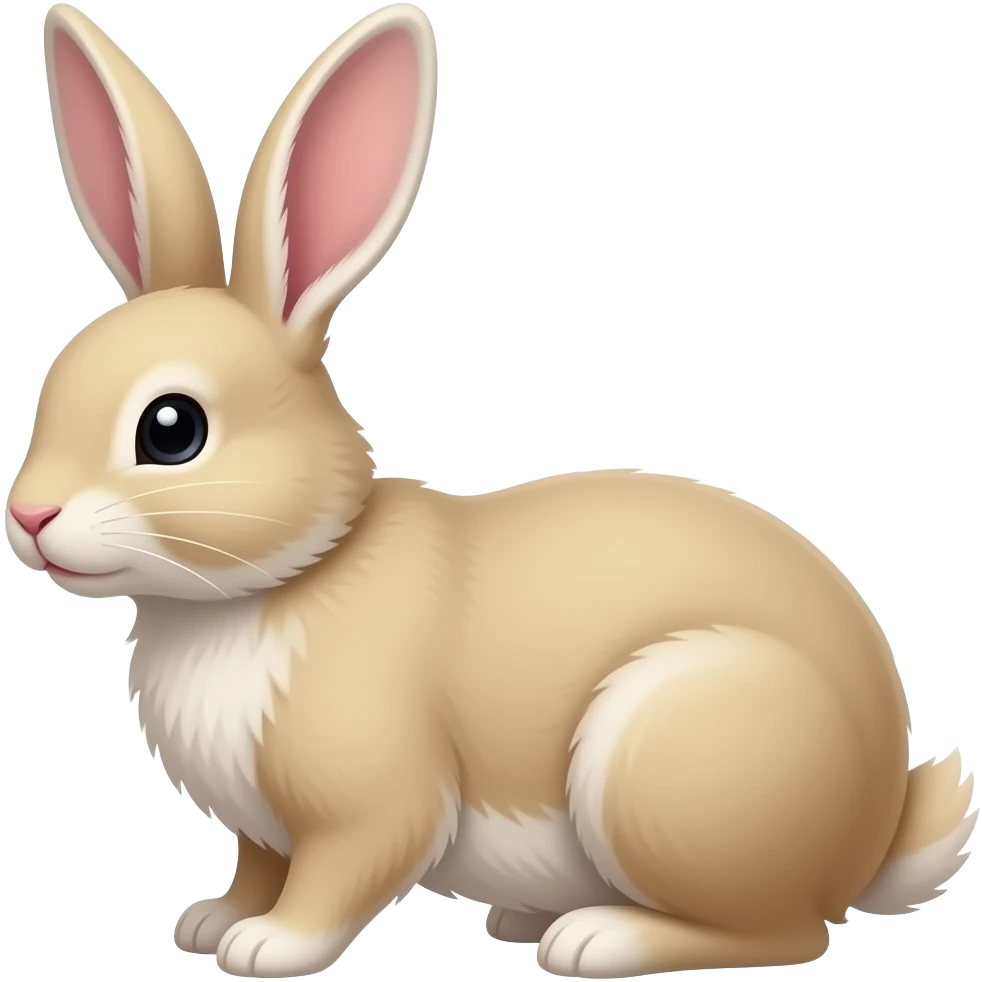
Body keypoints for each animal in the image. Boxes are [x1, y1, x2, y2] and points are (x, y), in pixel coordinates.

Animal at [7, 3, 975, 978]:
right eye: (50, 384)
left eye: (172, 429)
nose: (28, 515)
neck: (292, 572)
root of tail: (873, 834)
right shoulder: (264, 830)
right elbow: (257, 866)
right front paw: (210, 923)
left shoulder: (371, 802)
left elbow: (337, 876)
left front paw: (267, 946)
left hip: (668, 757)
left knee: (785, 931)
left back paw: (596, 938)